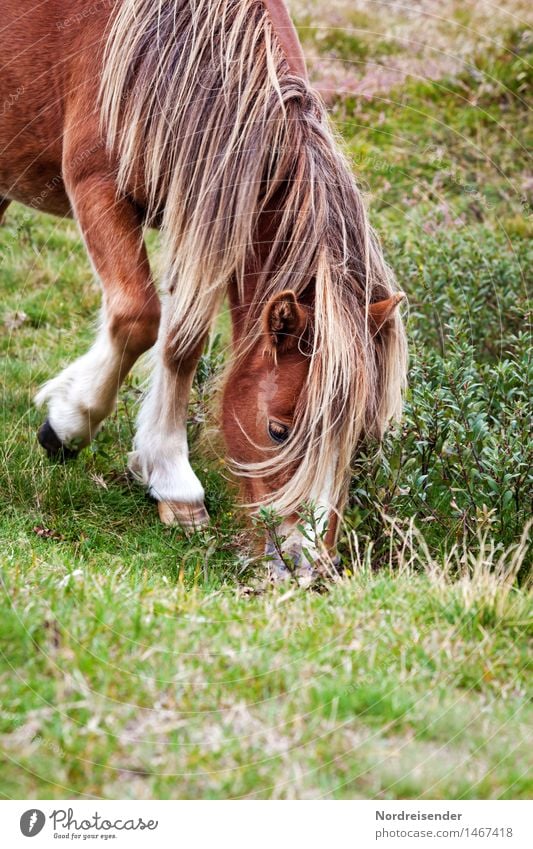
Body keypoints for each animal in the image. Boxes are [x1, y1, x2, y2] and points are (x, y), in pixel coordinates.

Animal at [1, 0, 408, 576]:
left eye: (359, 440)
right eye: (279, 430)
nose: (307, 566)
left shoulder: (204, 222)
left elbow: (183, 342)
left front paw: (167, 477)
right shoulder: (96, 186)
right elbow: (138, 318)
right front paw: (71, 422)